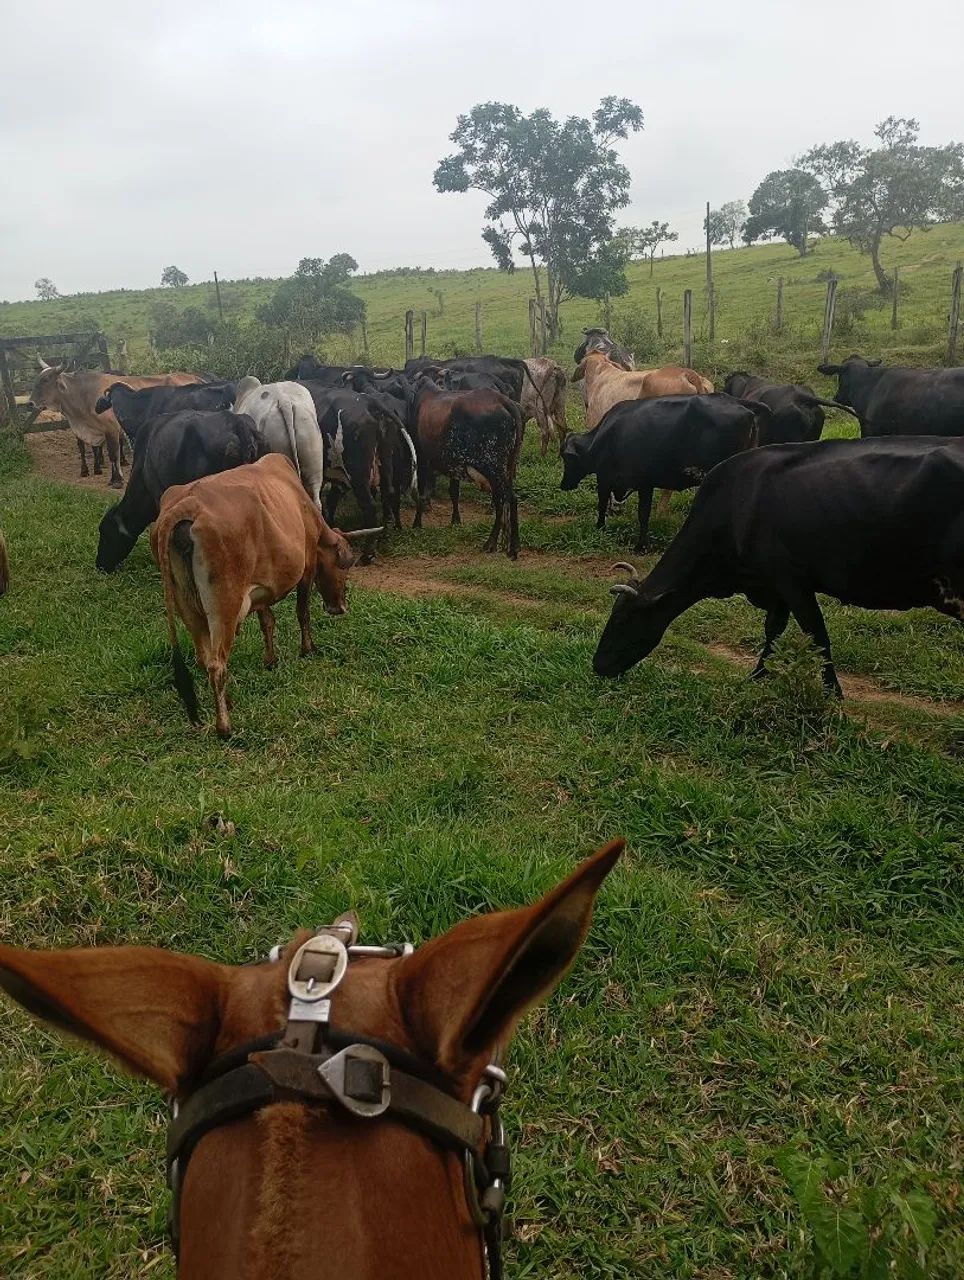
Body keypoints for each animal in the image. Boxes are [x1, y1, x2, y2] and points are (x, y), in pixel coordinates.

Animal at [28, 362, 201, 486]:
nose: (30, 403)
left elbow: (113, 454)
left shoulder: (110, 430)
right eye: (36, 379)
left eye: (45, 380)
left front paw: (117, 480)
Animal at [151, 454, 379, 737]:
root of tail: (186, 505)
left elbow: (267, 621)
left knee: (204, 658)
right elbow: (302, 612)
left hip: (187, 607)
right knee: (217, 664)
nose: (339, 607)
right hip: (225, 605)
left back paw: (228, 702)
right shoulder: (307, 566)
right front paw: (308, 649)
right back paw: (224, 726)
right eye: (344, 563)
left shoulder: (259, 588)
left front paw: (271, 660)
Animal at [411, 378, 522, 558]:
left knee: (506, 499)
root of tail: (504, 401)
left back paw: (494, 544)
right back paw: (512, 545)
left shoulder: (421, 458)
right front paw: (455, 521)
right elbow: (454, 492)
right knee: (506, 499)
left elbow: (421, 494)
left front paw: (416, 524)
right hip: (507, 468)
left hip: (492, 467)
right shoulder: (454, 466)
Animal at [561, 394, 764, 551]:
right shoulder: (645, 484)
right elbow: (644, 514)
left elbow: (606, 506)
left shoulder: (605, 479)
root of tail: (741, 405)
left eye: (566, 458)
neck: (602, 439)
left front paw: (604, 530)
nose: (563, 485)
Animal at [592, 435, 964, 695]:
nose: (597, 665)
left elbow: (817, 636)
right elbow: (773, 630)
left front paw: (832, 695)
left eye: (624, 619)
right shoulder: (773, 587)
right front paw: (757, 675)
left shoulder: (792, 582)